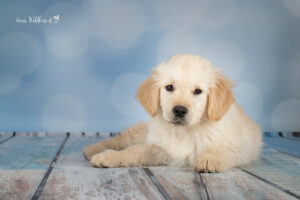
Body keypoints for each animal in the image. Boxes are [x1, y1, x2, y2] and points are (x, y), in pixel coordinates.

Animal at [83, 54, 262, 172]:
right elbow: (135, 150)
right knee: (121, 140)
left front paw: (208, 160)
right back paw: (93, 149)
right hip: (141, 132)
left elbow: (220, 149)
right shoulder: (161, 146)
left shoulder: (235, 146)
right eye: (169, 87)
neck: (184, 132)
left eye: (198, 91)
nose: (179, 110)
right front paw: (110, 157)